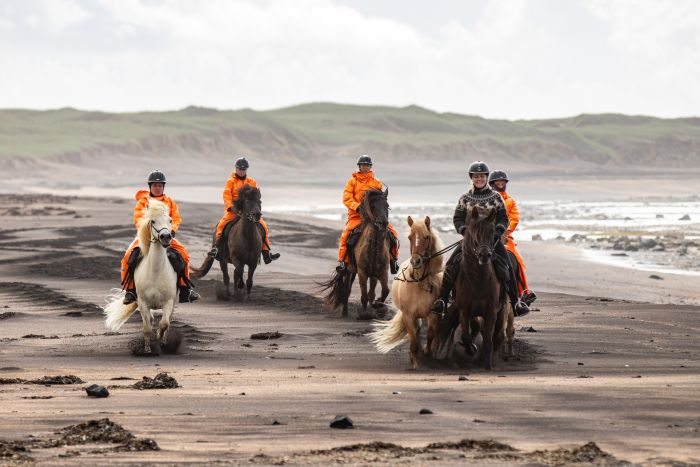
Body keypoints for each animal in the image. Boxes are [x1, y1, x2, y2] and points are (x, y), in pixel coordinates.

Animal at [105, 199, 180, 356]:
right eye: (153, 221)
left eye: (170, 220)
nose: (166, 237)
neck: (156, 271)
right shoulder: (143, 303)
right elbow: (146, 328)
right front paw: (147, 349)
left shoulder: (169, 302)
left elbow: (164, 324)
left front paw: (160, 340)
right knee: (150, 320)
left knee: (167, 322)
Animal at [322, 187, 394, 318]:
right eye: (373, 206)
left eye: (387, 205)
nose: (383, 223)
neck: (374, 246)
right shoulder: (362, 272)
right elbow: (364, 295)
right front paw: (364, 314)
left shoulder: (382, 271)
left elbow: (384, 291)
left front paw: (377, 305)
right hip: (349, 271)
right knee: (347, 290)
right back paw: (345, 313)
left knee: (370, 292)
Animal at [366, 216, 442, 370]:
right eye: (410, 237)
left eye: (426, 237)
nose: (416, 261)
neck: (419, 282)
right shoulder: (409, 315)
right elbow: (413, 342)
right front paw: (415, 364)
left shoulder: (433, 314)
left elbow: (431, 334)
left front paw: (427, 352)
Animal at [454, 207, 508, 372]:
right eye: (473, 231)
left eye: (492, 232)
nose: (484, 255)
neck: (478, 280)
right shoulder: (465, 311)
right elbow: (466, 335)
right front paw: (471, 348)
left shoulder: (491, 312)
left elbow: (488, 340)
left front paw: (487, 364)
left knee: (497, 336)